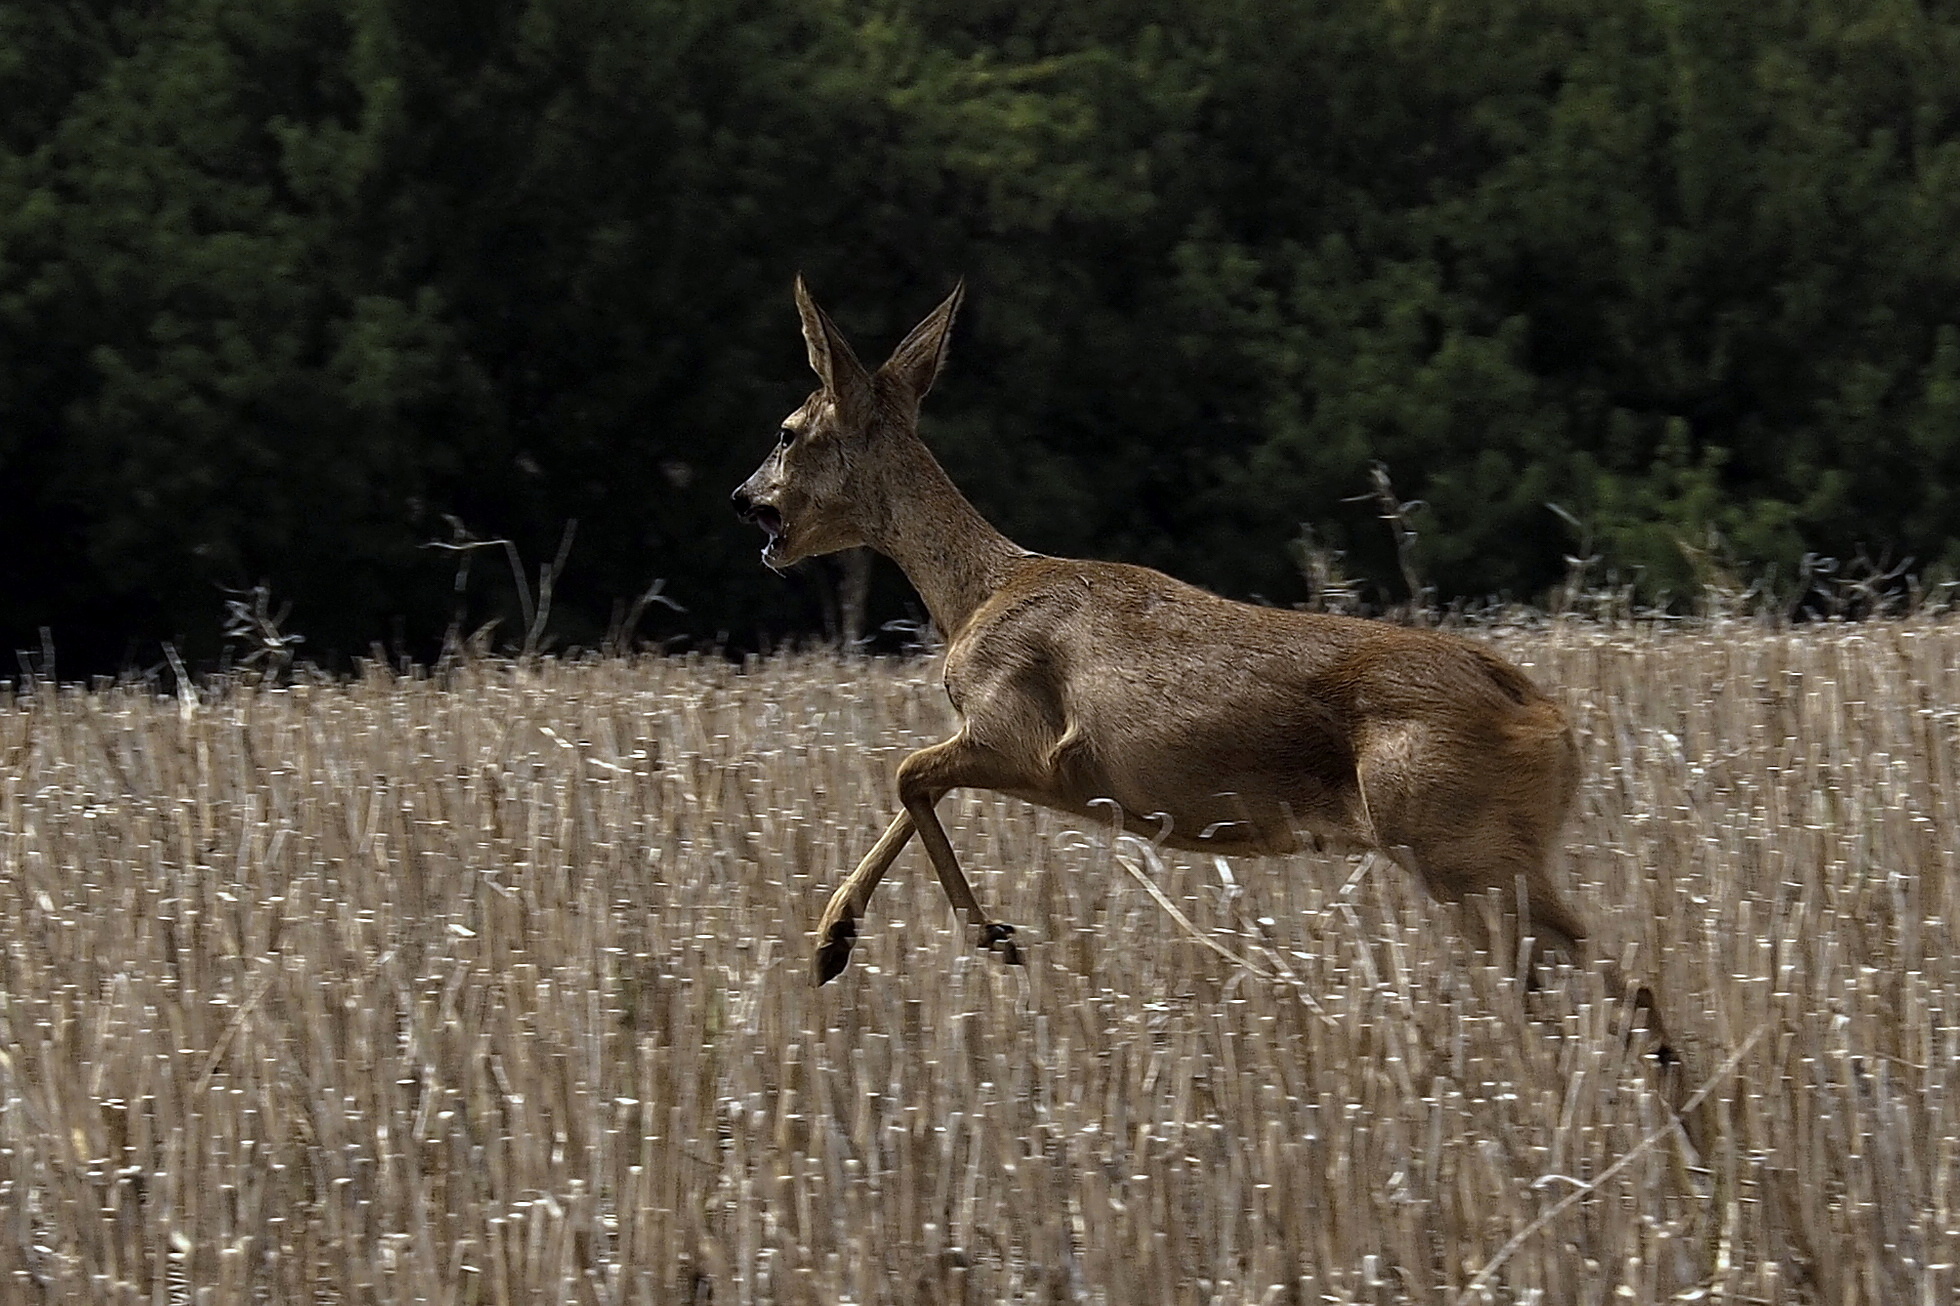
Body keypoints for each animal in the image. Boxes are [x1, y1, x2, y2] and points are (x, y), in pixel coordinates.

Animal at [729, 276, 1677, 1051]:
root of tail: (1554, 727)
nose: (741, 498)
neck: (976, 593)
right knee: (1610, 989)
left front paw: (977, 938)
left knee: (1603, 990)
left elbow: (907, 773)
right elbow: (910, 783)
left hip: (1457, 843)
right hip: (1486, 850)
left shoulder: (1026, 738)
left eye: (785, 432)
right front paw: (833, 944)